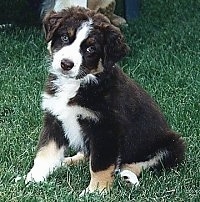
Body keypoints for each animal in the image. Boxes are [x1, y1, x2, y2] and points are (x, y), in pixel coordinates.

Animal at [25, 6, 186, 196]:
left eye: (90, 49)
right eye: (65, 37)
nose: (66, 64)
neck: (78, 83)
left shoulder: (106, 128)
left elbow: (99, 164)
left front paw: (95, 191)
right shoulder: (55, 118)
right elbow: (46, 152)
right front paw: (33, 178)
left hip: (171, 145)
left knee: (139, 163)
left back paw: (127, 176)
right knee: (87, 153)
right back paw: (67, 161)